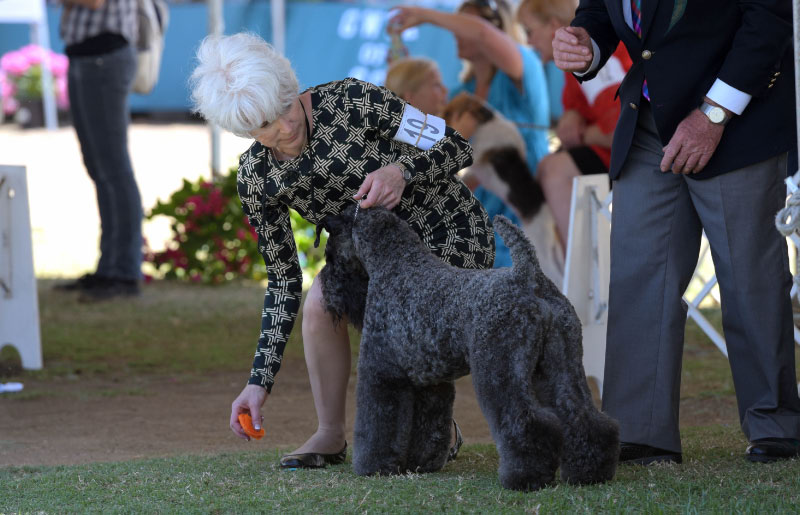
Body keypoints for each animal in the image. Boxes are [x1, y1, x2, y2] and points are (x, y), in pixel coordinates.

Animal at [318, 204, 620, 490]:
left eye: (329, 254)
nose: (324, 284)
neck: (396, 265)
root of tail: (529, 277)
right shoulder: (431, 383)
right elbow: (429, 426)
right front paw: (421, 463)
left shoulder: (381, 373)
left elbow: (377, 424)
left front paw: (372, 466)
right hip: (561, 365)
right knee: (582, 416)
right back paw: (590, 471)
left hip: (498, 370)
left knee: (525, 421)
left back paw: (525, 476)